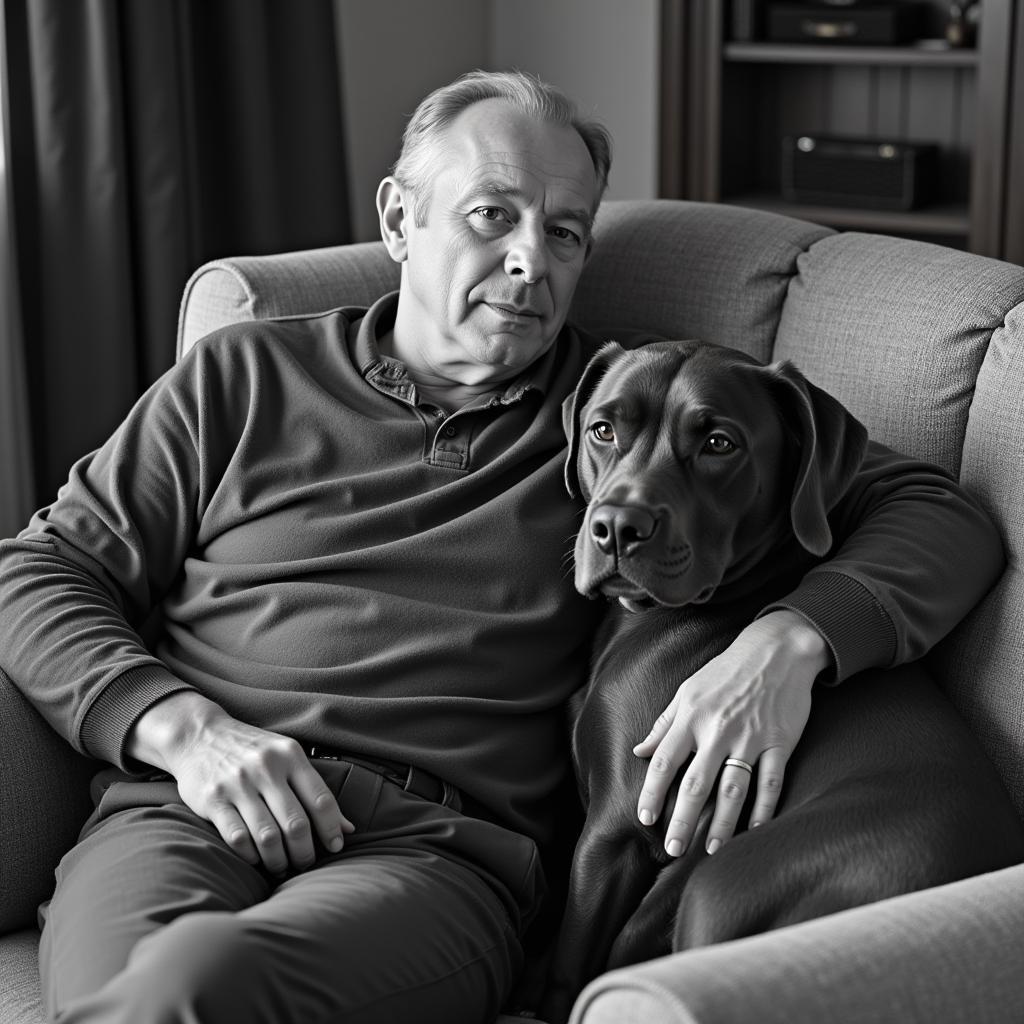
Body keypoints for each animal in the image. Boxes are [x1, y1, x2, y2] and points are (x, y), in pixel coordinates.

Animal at [540, 342, 1024, 1024]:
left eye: (719, 443)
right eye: (603, 430)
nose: (617, 528)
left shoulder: (616, 829)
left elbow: (568, 963)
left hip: (720, 881)